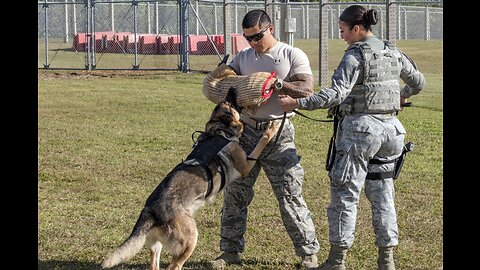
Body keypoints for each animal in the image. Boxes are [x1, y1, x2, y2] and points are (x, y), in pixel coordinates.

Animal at [102, 92, 282, 268]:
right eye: (229, 102)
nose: (232, 88)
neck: (219, 130)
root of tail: (151, 211)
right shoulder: (245, 165)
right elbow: (261, 142)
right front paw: (272, 128)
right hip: (190, 240)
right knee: (174, 266)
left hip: (157, 246)